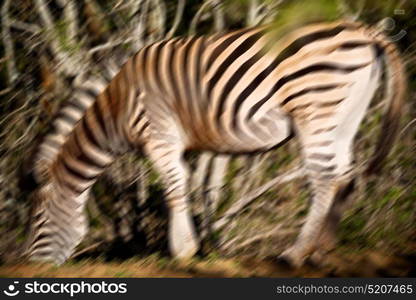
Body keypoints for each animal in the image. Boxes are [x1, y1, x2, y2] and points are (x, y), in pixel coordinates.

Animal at [22, 19, 406, 266]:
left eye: (38, 220)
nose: (31, 265)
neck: (117, 106)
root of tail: (362, 30)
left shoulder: (158, 134)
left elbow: (174, 187)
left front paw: (183, 252)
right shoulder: (190, 144)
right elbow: (195, 186)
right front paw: (197, 246)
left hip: (315, 108)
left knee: (325, 179)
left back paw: (295, 255)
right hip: (345, 117)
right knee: (345, 176)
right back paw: (321, 252)